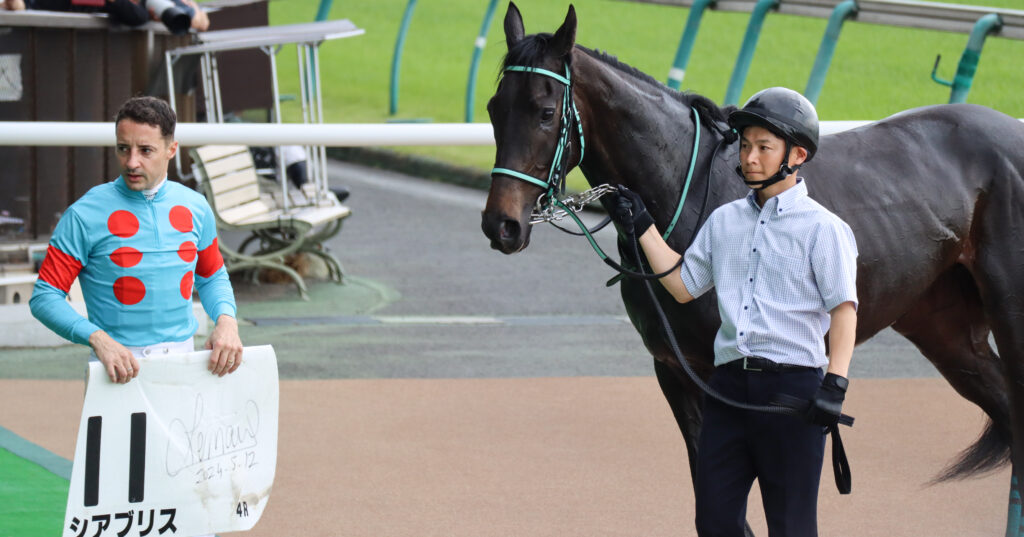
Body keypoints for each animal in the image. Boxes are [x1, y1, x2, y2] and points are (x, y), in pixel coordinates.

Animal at [480, 3, 1024, 536]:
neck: (686, 189)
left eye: (545, 112)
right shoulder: (675, 369)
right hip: (944, 330)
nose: (501, 224)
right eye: (493, 109)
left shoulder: (718, 374)